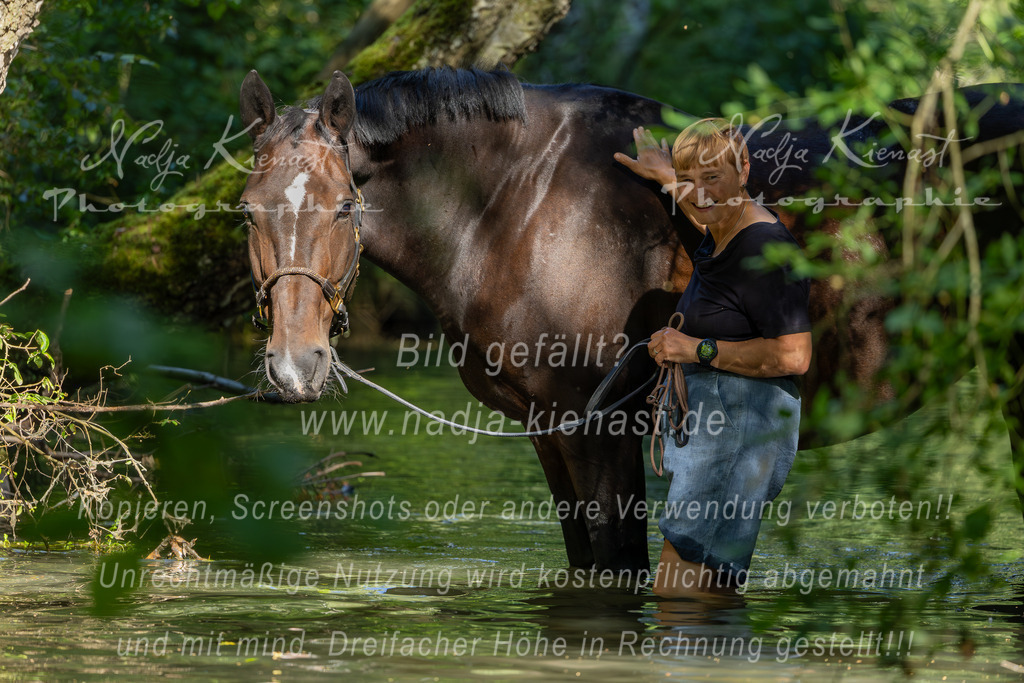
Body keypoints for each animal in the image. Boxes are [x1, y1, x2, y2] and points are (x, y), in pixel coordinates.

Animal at [238, 66, 1024, 572]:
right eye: (248, 209)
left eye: (345, 206)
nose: (295, 366)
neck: (514, 205)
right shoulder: (548, 430)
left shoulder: (600, 430)